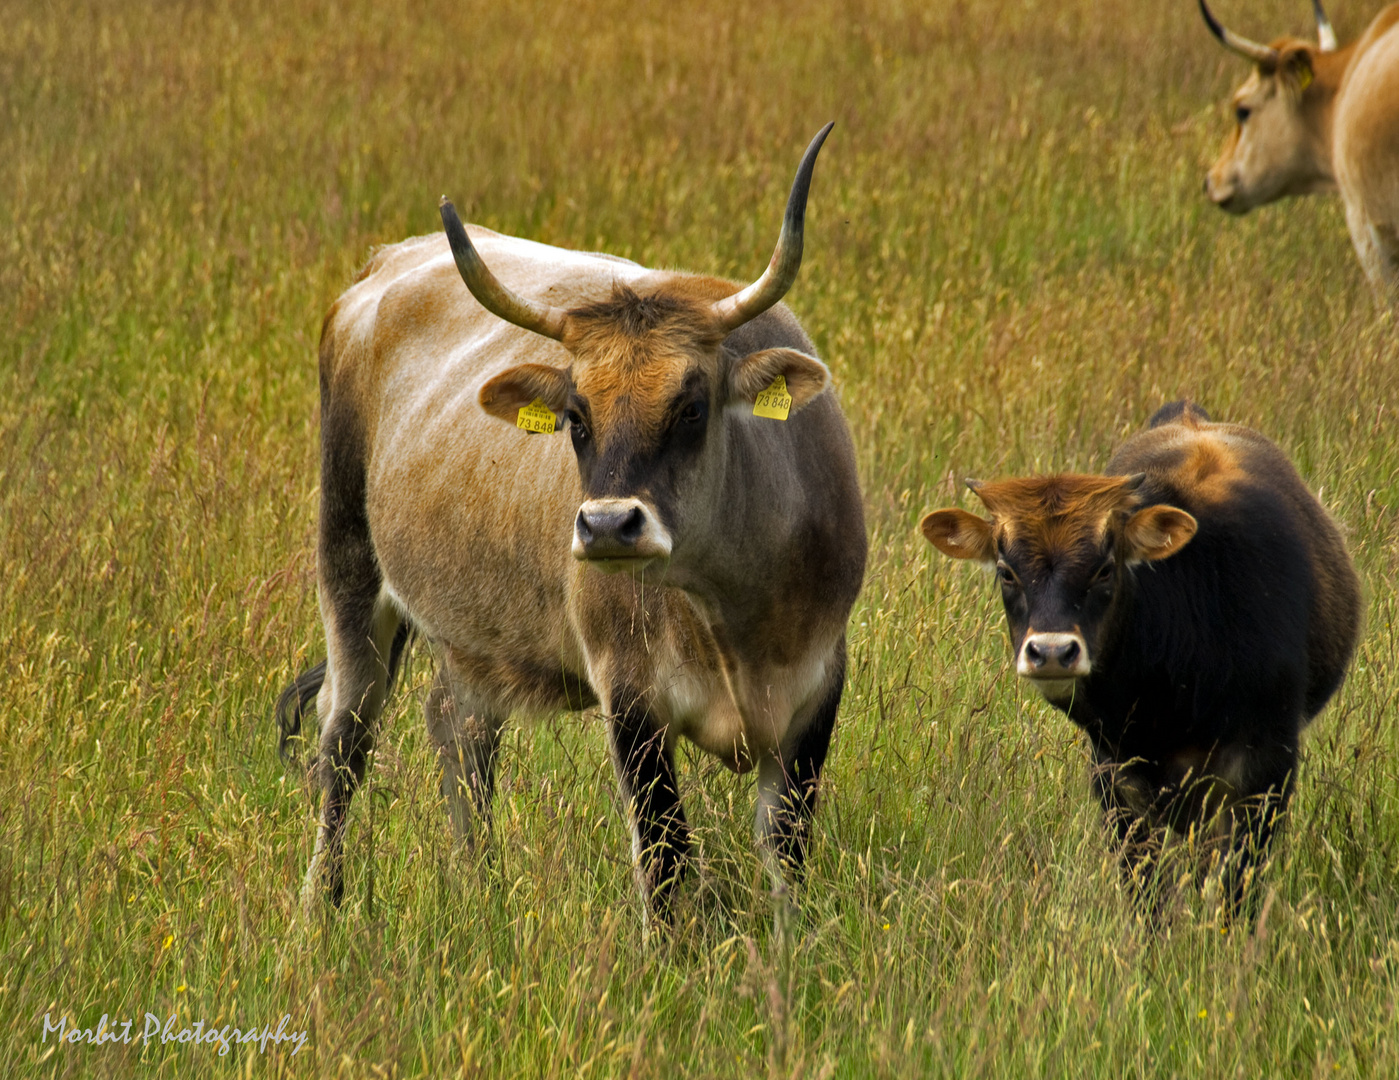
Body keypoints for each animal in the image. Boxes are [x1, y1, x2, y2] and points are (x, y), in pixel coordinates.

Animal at [272, 124, 861, 917]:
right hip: (347, 567)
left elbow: (787, 851)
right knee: (344, 739)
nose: (609, 526)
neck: (729, 614)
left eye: (692, 406)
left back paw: (480, 889)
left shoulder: (816, 690)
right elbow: (665, 859)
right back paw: (320, 907)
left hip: (472, 634)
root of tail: (384, 265)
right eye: (576, 417)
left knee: (459, 730)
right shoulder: (631, 699)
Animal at [923, 405, 1359, 917]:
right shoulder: (1115, 774)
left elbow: (1237, 889)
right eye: (1006, 571)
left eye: (1104, 568)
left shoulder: (1265, 767)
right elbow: (1147, 893)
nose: (1051, 651)